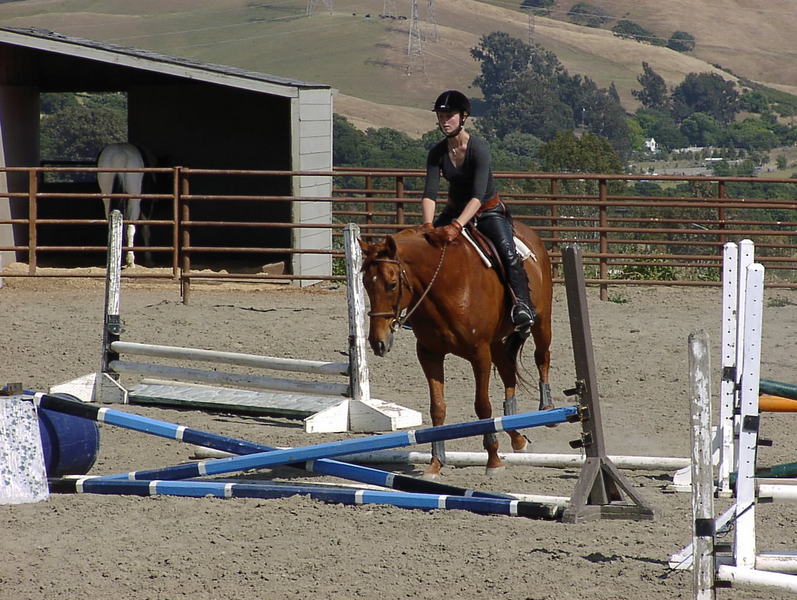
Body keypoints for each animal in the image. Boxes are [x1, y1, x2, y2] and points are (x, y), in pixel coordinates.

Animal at [359, 222, 554, 478]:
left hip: (541, 321)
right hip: (497, 343)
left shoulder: (479, 354)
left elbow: (482, 406)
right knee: (509, 375)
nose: (378, 342)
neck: (446, 285)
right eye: (365, 283)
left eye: (392, 284)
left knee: (542, 357)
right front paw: (435, 463)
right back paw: (517, 436)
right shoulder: (429, 354)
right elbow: (437, 408)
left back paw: (548, 409)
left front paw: (493, 460)